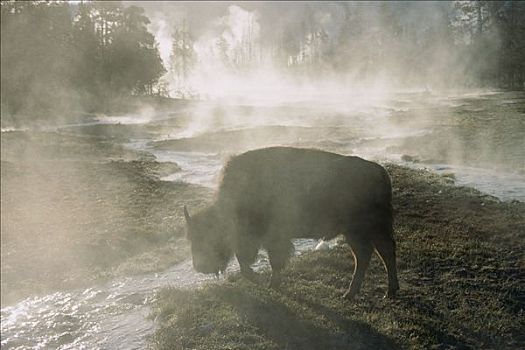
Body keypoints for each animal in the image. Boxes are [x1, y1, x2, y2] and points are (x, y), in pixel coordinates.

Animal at [183, 146, 398, 300]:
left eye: (208, 237)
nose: (199, 266)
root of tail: (381, 172)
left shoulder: (272, 239)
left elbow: (271, 261)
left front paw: (269, 283)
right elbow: (245, 260)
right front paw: (265, 280)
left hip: (365, 229)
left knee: (380, 253)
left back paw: (383, 292)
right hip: (357, 232)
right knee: (369, 254)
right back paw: (359, 293)